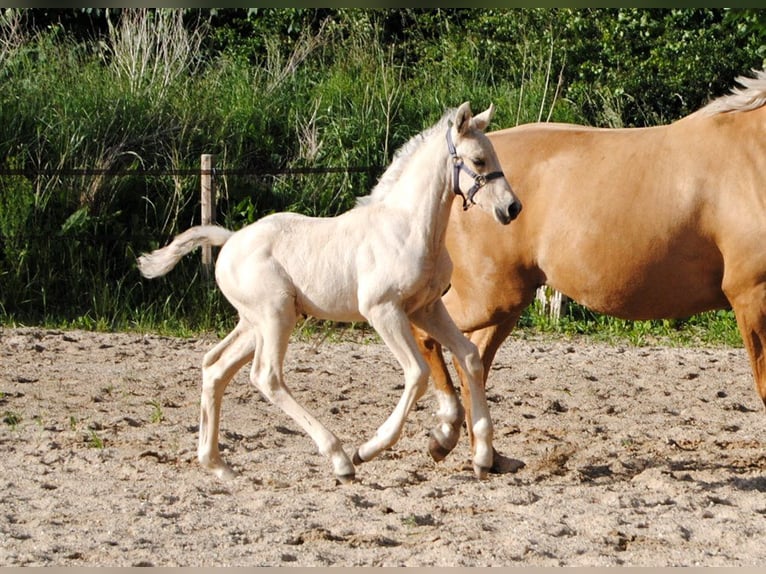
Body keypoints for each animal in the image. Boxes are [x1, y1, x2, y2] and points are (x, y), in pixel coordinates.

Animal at [136, 102, 520, 482]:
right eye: (478, 160)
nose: (512, 208)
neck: (407, 227)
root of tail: (229, 240)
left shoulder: (425, 308)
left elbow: (469, 356)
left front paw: (482, 457)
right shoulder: (383, 310)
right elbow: (417, 373)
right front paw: (370, 448)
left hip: (254, 323)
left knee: (215, 367)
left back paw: (217, 464)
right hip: (276, 315)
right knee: (267, 376)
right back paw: (340, 459)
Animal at [420, 70, 766, 472]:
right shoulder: (752, 295)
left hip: (503, 304)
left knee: (472, 358)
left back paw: (486, 457)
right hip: (488, 297)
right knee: (430, 334)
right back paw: (445, 437)